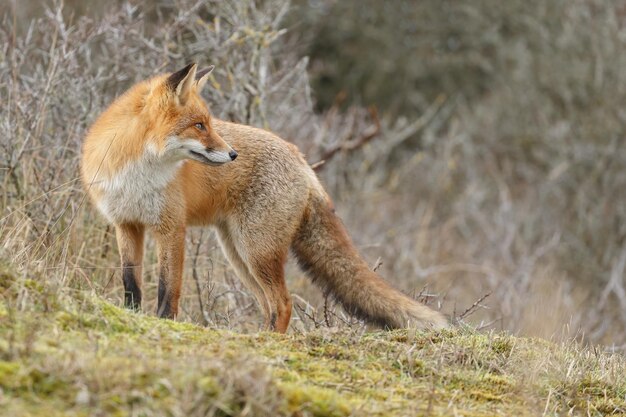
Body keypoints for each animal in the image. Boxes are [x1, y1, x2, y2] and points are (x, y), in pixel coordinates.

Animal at [80, 63, 446, 334]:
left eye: (209, 123)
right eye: (199, 125)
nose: (232, 154)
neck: (137, 170)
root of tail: (301, 158)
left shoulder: (171, 228)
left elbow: (168, 290)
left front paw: (165, 325)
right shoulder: (126, 224)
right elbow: (131, 285)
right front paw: (130, 316)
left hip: (255, 251)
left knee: (283, 303)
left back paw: (269, 343)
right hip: (239, 254)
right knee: (270, 304)